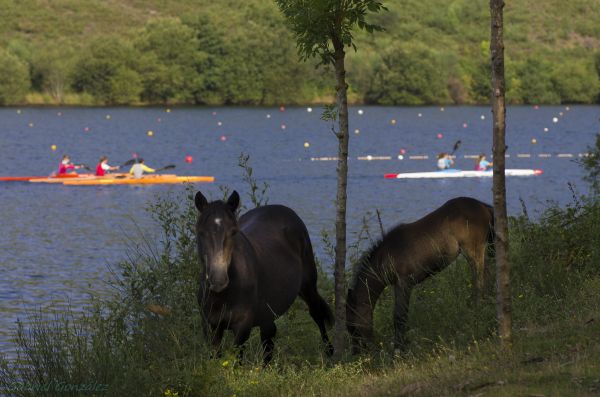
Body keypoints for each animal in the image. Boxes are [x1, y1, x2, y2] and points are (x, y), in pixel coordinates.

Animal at [195, 190, 332, 364]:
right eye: (201, 232)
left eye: (233, 231)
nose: (218, 280)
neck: (224, 296)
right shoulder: (210, 327)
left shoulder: (242, 327)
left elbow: (237, 360)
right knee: (268, 337)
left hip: (308, 286)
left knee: (317, 314)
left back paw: (329, 353)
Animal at [344, 197, 494, 352]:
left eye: (352, 327)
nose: (357, 351)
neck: (386, 256)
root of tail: (483, 206)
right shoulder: (399, 285)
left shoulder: (404, 283)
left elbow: (399, 316)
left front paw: (399, 348)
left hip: (474, 251)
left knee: (480, 283)